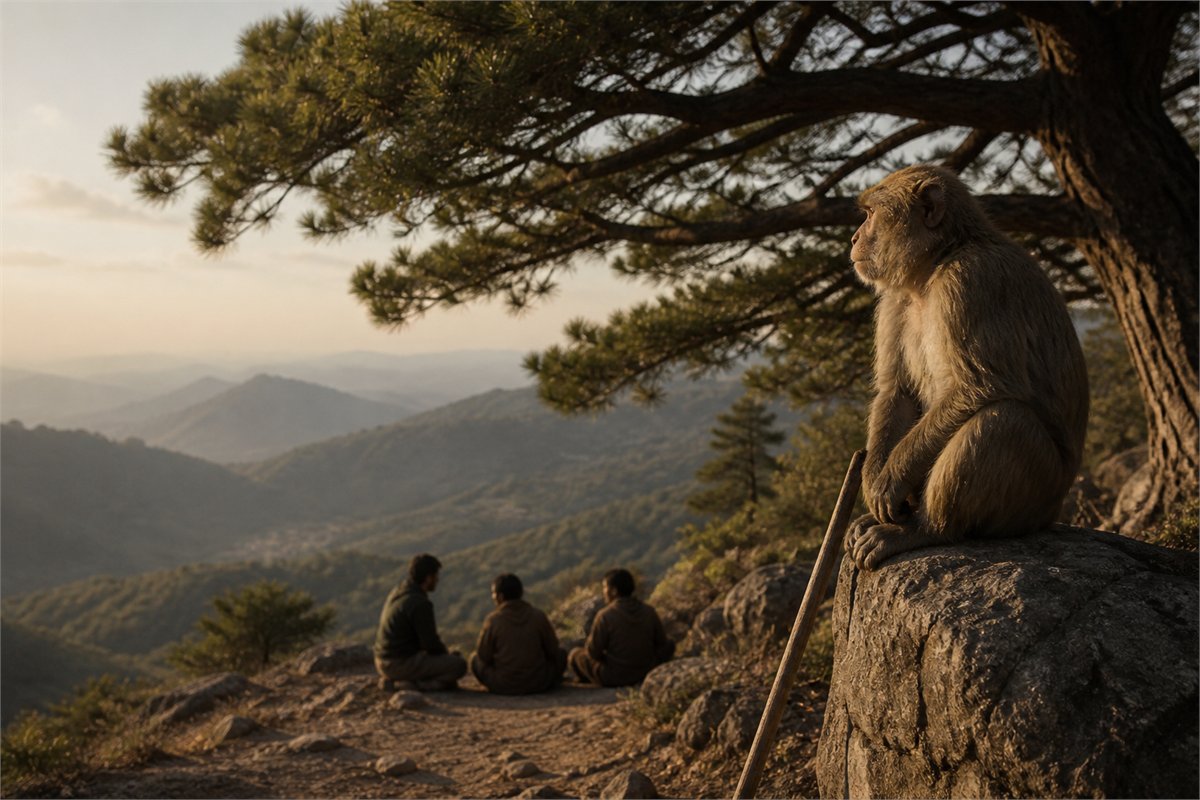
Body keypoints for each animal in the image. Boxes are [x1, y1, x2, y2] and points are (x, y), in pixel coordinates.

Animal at [845, 164, 1089, 570]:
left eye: (871, 214)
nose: (854, 237)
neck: (935, 266)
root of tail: (1054, 510)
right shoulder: (895, 299)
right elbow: (897, 390)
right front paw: (873, 478)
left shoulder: (971, 280)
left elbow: (981, 384)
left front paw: (891, 479)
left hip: (1037, 496)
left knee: (1003, 420)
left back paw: (926, 529)